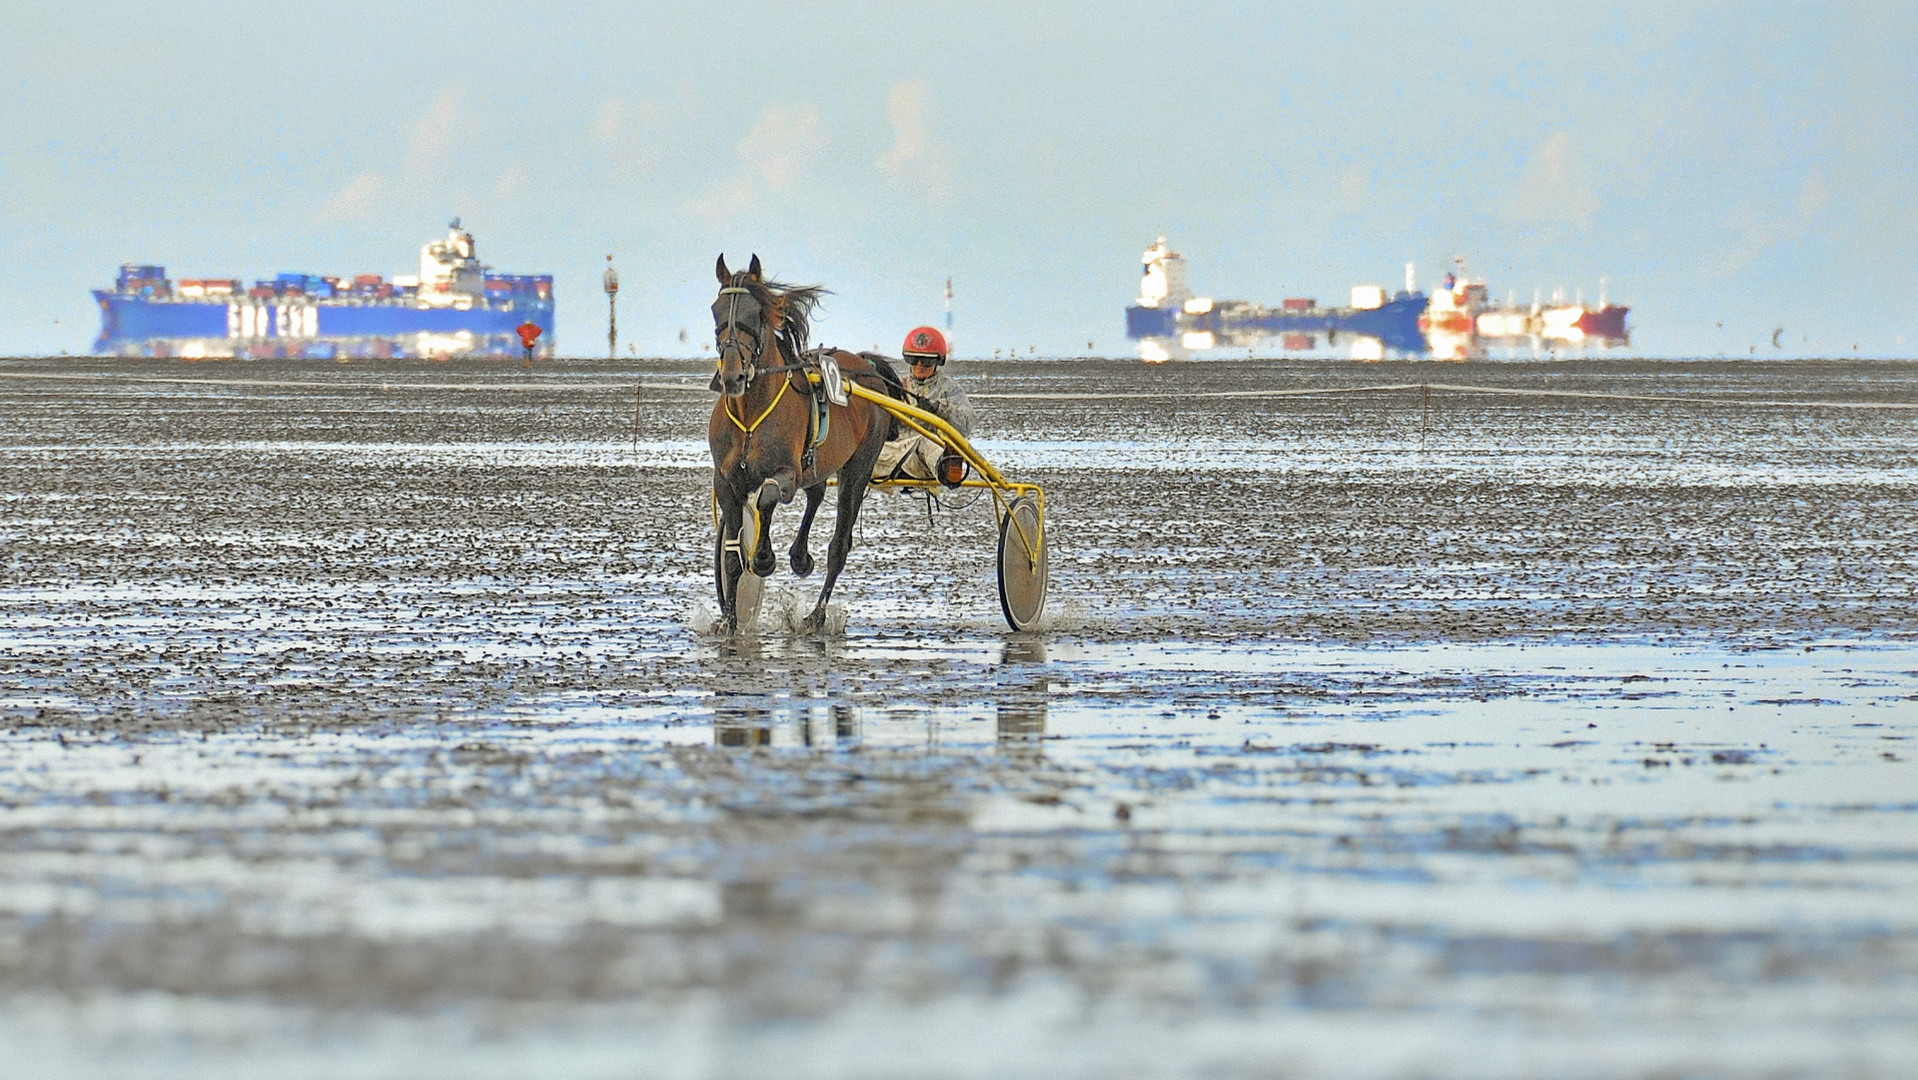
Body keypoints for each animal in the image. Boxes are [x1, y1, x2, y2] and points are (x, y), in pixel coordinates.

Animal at [709, 255, 901, 633]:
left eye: (755, 313)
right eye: (716, 310)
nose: (732, 376)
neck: (750, 414)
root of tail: (867, 365)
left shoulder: (787, 473)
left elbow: (767, 497)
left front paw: (764, 559)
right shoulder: (725, 482)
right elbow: (732, 555)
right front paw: (729, 620)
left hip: (857, 470)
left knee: (839, 546)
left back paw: (816, 614)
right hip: (820, 465)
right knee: (816, 493)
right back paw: (800, 556)